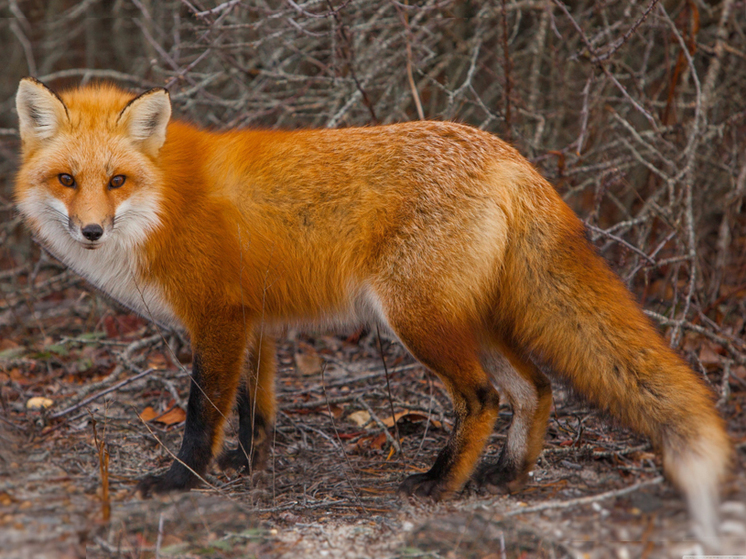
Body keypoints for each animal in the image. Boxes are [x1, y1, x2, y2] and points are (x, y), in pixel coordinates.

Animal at [14, 77, 728, 544]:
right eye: (67, 180)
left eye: (117, 181)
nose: (90, 232)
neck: (164, 202)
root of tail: (508, 155)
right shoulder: (254, 325)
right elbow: (254, 410)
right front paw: (248, 467)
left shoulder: (219, 318)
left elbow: (202, 413)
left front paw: (180, 480)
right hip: (472, 320)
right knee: (537, 388)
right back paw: (507, 476)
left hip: (417, 320)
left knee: (483, 398)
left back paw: (441, 484)